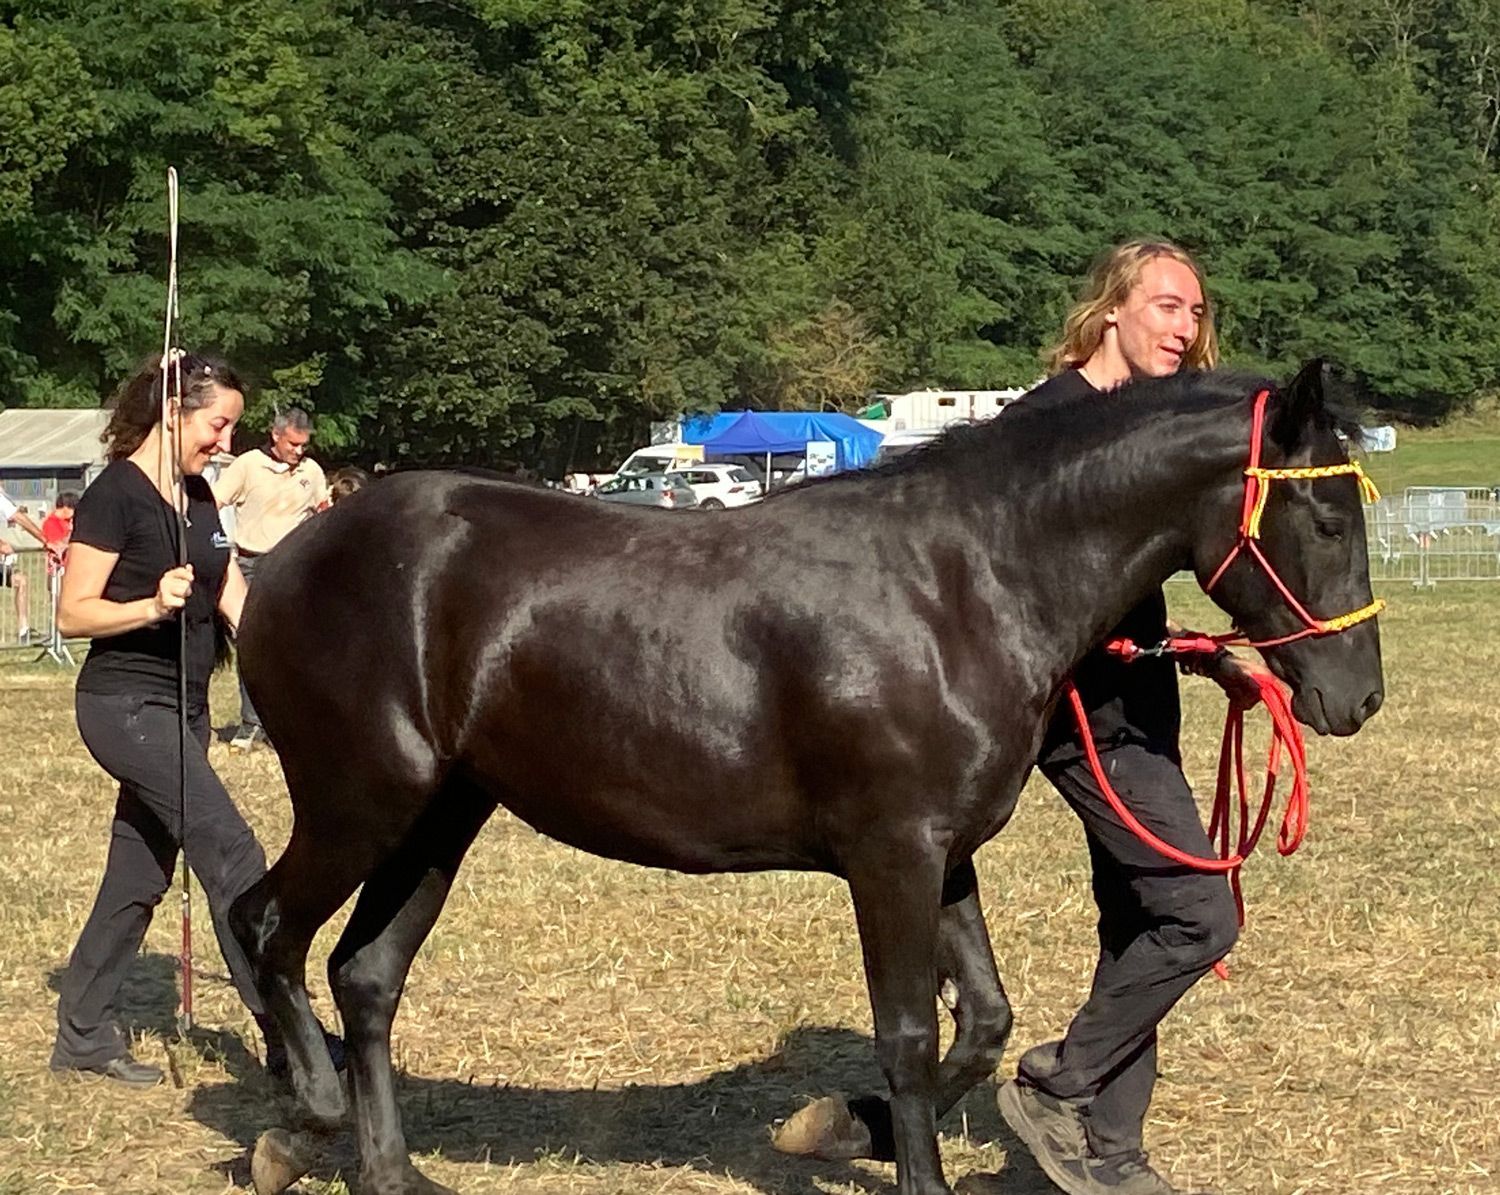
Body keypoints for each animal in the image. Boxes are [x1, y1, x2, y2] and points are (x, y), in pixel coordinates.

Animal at [229, 361, 1383, 1195]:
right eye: (1328, 521)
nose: (1357, 697)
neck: (961, 584)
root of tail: (287, 560)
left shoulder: (941, 854)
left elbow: (984, 1022)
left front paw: (835, 1127)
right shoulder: (889, 857)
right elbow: (911, 1036)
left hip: (440, 817)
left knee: (365, 976)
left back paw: (383, 1165)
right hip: (362, 803)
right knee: (263, 926)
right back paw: (304, 1114)